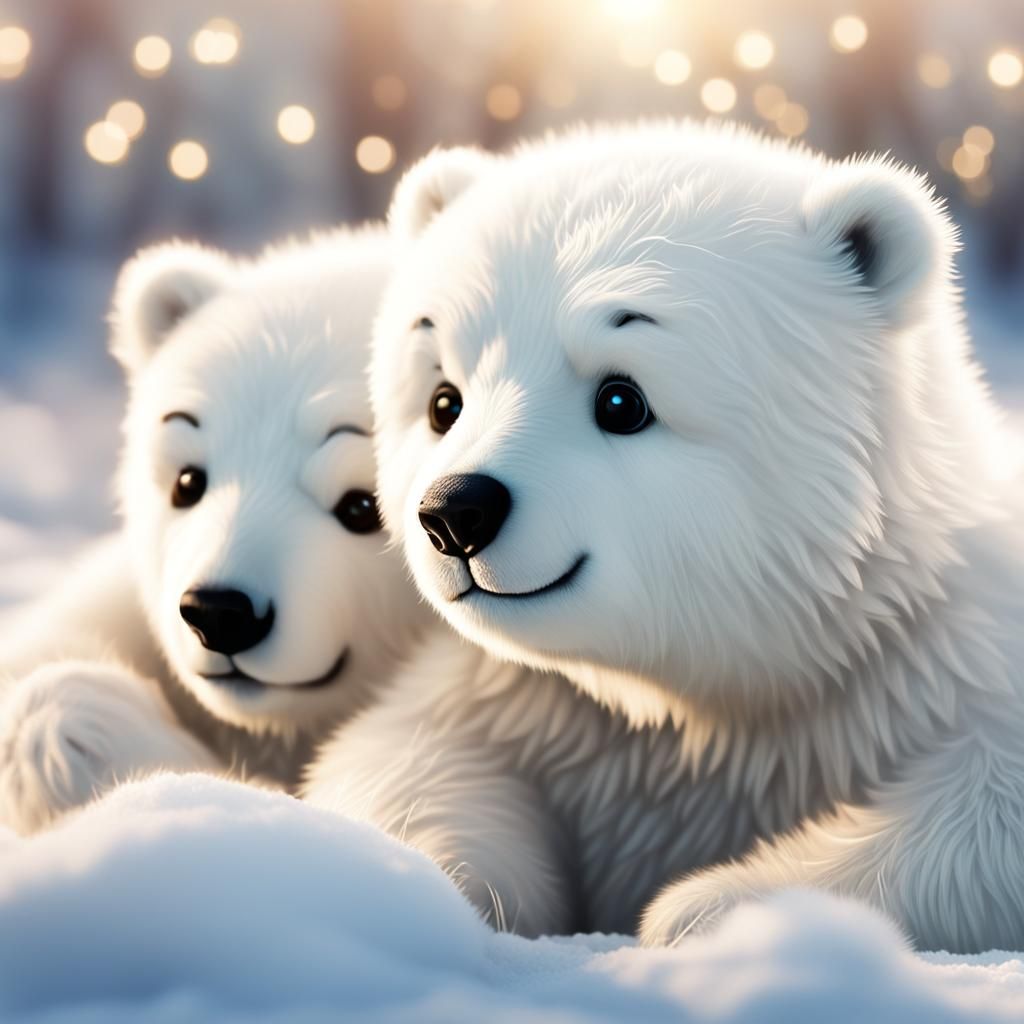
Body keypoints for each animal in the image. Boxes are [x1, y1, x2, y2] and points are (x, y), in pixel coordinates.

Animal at [305, 124, 1024, 953]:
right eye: (443, 400)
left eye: (622, 399)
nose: (456, 512)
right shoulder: (522, 704)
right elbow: (399, 760)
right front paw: (439, 889)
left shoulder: (936, 665)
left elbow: (981, 812)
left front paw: (707, 907)